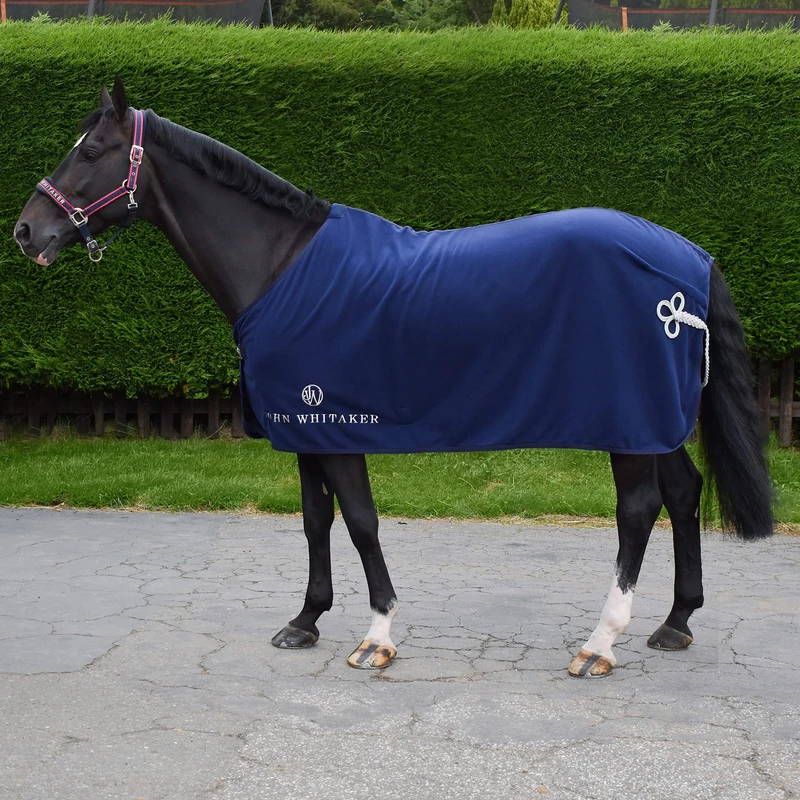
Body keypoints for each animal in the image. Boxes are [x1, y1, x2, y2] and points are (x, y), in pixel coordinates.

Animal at [15, 78, 773, 677]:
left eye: (90, 152)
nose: (27, 232)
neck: (280, 265)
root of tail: (688, 256)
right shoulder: (305, 428)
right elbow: (315, 519)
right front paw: (306, 619)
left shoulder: (339, 427)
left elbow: (359, 521)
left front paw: (377, 634)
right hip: (653, 420)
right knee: (684, 492)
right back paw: (675, 623)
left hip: (628, 423)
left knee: (638, 510)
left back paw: (600, 643)